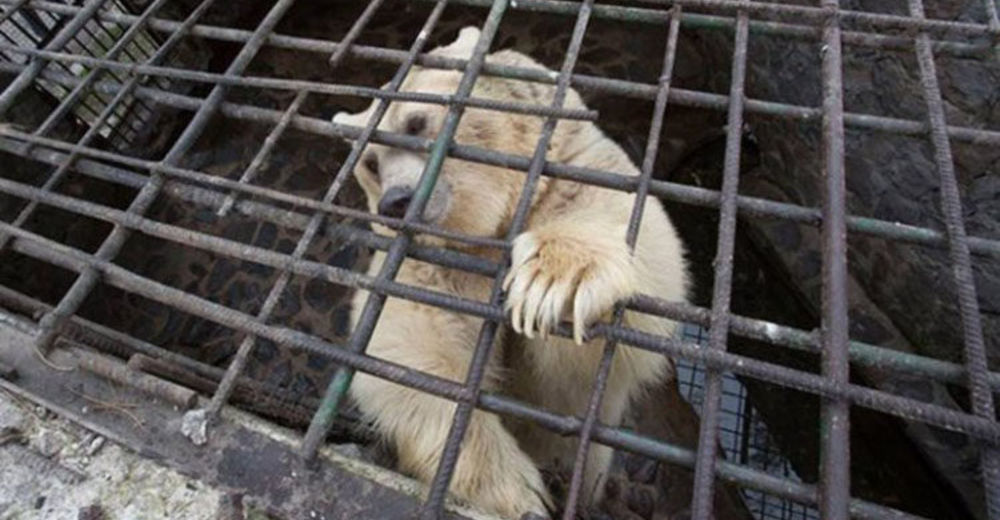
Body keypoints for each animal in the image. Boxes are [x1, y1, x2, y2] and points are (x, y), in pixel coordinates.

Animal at [334, 27, 688, 520]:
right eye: (369, 163)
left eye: (417, 124)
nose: (396, 201)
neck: (490, 223)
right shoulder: (430, 264)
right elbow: (408, 346)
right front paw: (514, 489)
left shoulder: (579, 168)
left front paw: (553, 281)